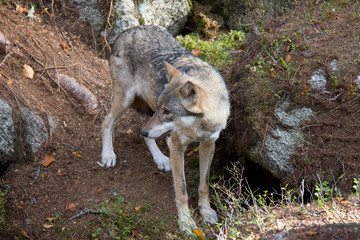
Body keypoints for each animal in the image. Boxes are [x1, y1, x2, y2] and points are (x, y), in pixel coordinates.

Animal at [101, 25, 231, 233]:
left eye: (167, 111)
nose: (144, 132)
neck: (199, 127)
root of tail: (127, 30)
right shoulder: (177, 146)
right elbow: (182, 190)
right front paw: (186, 222)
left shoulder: (208, 144)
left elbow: (204, 184)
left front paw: (206, 211)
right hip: (126, 100)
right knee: (107, 121)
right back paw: (108, 155)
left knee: (142, 131)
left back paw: (160, 159)